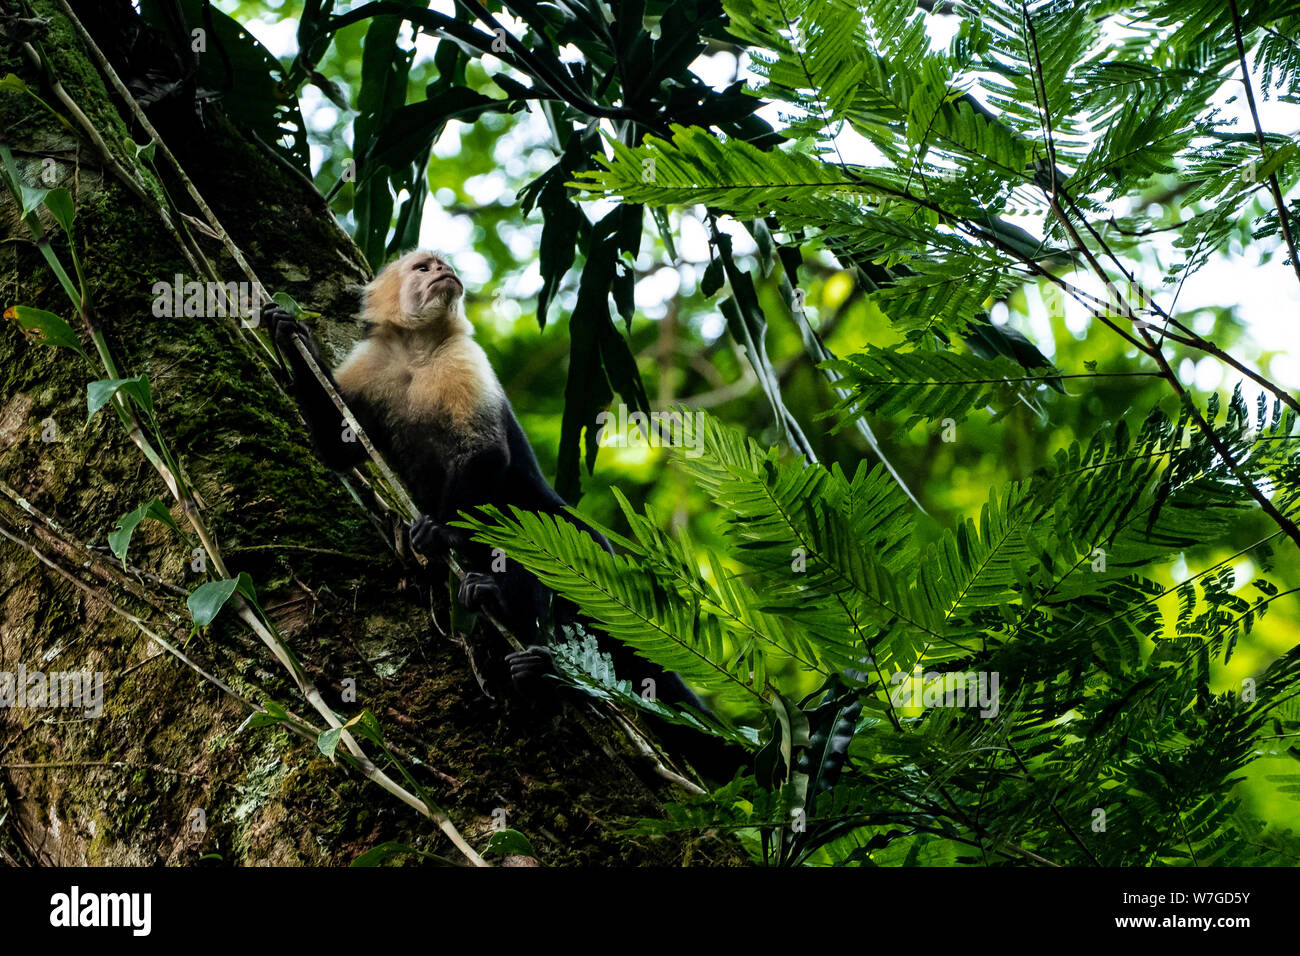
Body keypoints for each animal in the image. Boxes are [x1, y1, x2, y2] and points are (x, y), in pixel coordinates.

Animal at [266, 251, 743, 780]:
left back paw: (522, 639)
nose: (446, 273)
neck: (417, 351)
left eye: (443, 265)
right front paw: (291, 337)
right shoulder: (370, 364)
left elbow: (484, 454)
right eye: (423, 267)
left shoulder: (463, 359)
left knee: (548, 559)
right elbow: (338, 450)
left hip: (572, 539)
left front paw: (439, 533)